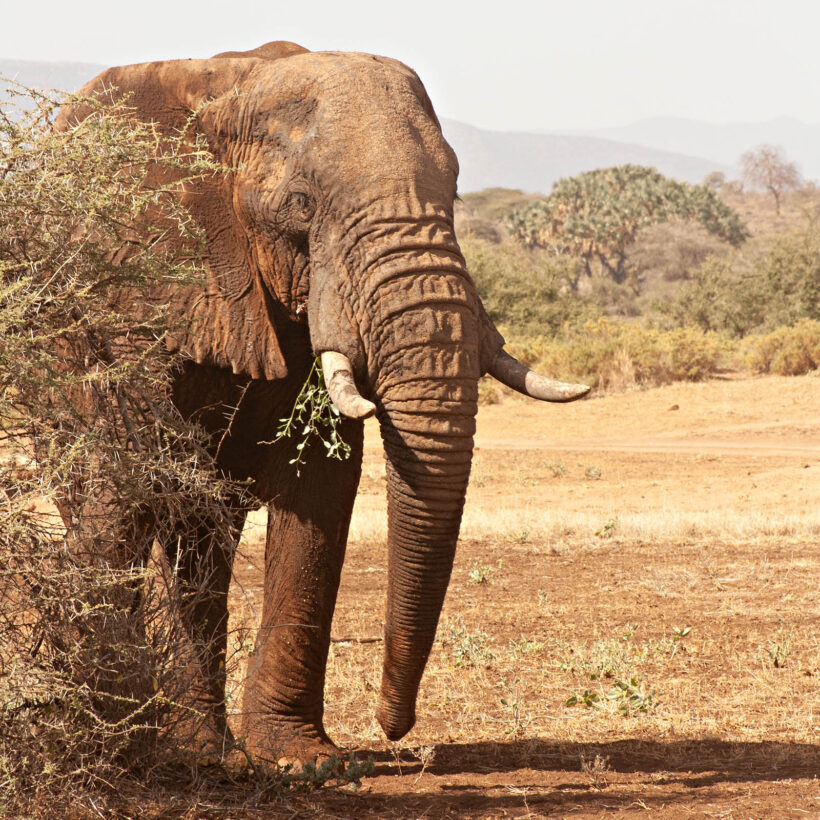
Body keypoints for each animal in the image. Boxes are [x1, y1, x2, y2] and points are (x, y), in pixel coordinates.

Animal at [57, 40, 589, 765]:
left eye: (453, 192)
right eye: (301, 204)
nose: (394, 730)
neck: (236, 86)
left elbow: (318, 486)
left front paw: (299, 760)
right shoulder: (134, 292)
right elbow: (138, 476)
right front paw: (118, 746)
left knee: (205, 536)